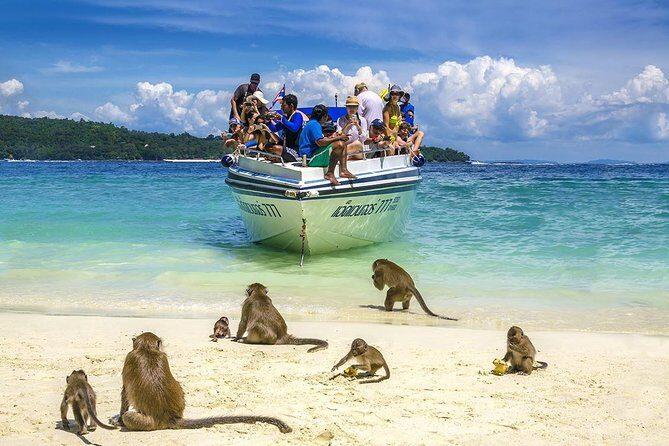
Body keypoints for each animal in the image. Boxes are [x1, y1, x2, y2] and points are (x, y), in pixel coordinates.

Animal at [112, 332, 292, 433]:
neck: (147, 349)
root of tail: (170, 418)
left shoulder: (129, 358)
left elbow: (125, 394)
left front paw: (119, 419)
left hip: (148, 422)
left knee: (130, 416)